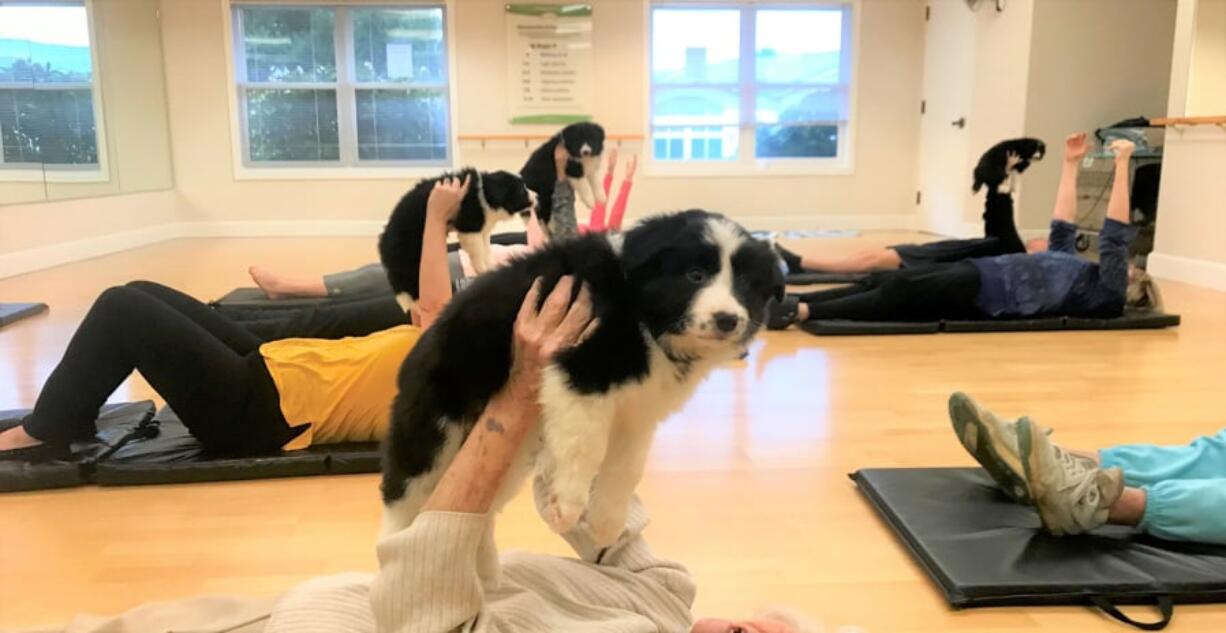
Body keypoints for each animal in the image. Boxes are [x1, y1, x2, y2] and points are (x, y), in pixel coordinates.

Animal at [375, 166, 534, 307]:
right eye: (522, 190)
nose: (536, 196)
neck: (486, 193)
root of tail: (383, 241)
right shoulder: (470, 227)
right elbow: (478, 252)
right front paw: (483, 269)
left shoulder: (482, 229)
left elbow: (486, 250)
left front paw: (490, 266)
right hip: (410, 255)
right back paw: (414, 303)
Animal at [380, 209, 784, 547]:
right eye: (694, 276)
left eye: (746, 284)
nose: (727, 319)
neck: (643, 314)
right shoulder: (581, 372)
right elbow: (585, 446)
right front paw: (568, 507)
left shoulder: (637, 411)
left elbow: (627, 468)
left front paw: (606, 526)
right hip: (433, 431)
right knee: (404, 499)